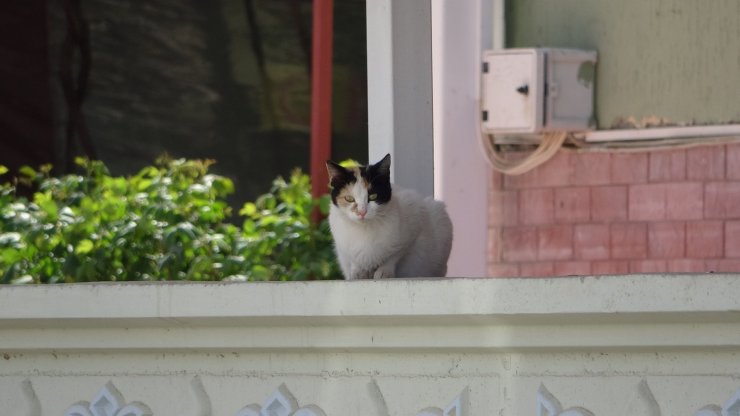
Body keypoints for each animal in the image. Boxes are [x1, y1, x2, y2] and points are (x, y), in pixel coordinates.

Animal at [326, 154, 454, 282]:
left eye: (373, 196)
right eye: (349, 199)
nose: (362, 212)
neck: (365, 229)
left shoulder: (414, 214)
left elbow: (395, 254)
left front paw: (384, 272)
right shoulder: (343, 246)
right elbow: (353, 259)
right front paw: (357, 273)